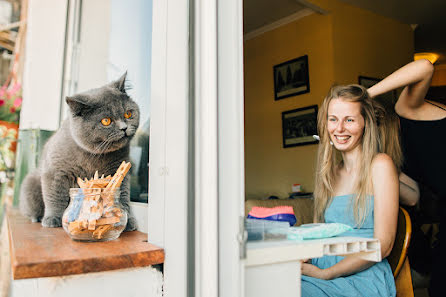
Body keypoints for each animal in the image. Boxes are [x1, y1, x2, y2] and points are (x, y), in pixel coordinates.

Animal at [19, 73, 139, 230]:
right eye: (106, 121)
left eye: (128, 114)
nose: (124, 128)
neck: (94, 155)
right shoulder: (55, 172)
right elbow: (55, 195)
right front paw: (53, 218)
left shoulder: (119, 170)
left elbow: (122, 194)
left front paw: (126, 220)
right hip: (30, 183)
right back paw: (37, 217)